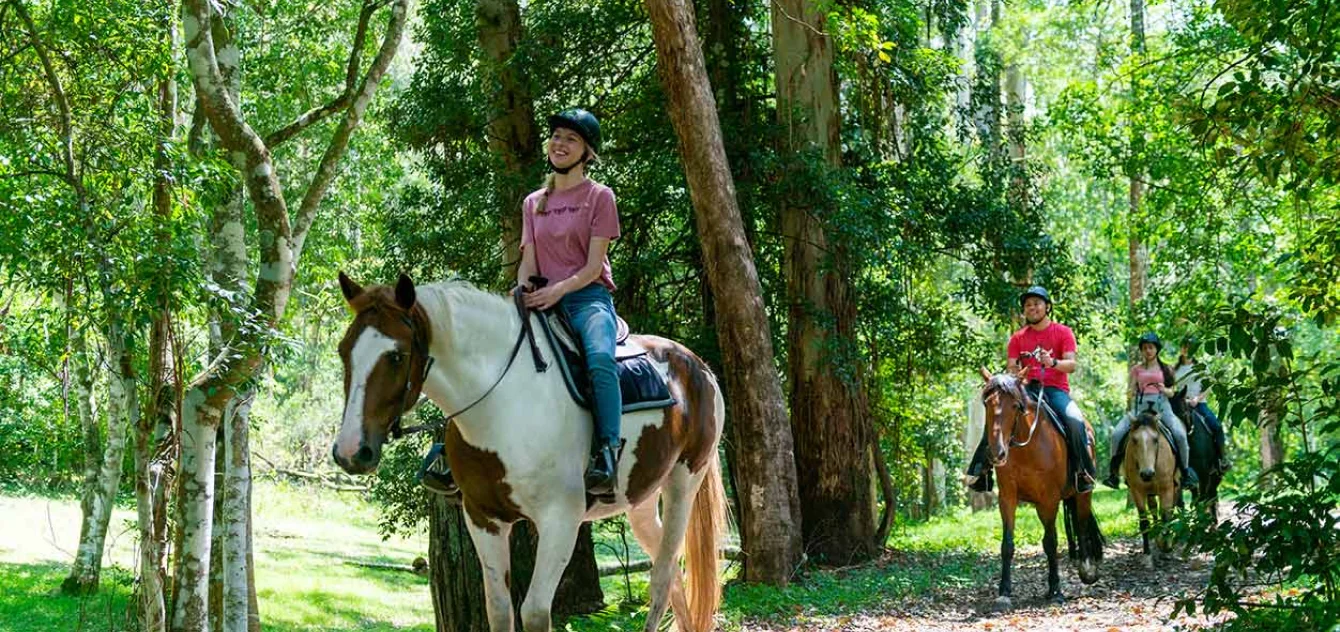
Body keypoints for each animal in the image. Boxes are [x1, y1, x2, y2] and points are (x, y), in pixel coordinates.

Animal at [330, 274, 728, 632]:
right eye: (343, 351)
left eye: (396, 356)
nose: (350, 451)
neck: (500, 404)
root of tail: (699, 367)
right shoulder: (484, 518)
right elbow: (499, 611)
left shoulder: (560, 520)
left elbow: (534, 613)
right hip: (640, 502)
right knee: (672, 573)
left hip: (683, 485)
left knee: (662, 576)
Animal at [980, 366, 1104, 610]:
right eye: (987, 404)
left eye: (1015, 406)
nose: (997, 453)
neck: (1026, 447)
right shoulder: (1007, 498)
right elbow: (1007, 545)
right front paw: (1004, 593)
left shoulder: (1049, 499)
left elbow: (1050, 542)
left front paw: (1055, 590)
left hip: (1083, 493)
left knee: (1082, 523)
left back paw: (1087, 570)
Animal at [1114, 407, 1179, 570]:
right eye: (1134, 440)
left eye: (1155, 440)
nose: (1147, 474)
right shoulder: (1137, 491)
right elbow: (1144, 521)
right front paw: (1147, 555)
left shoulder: (1167, 489)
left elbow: (1166, 516)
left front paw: (1166, 546)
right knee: (1154, 510)